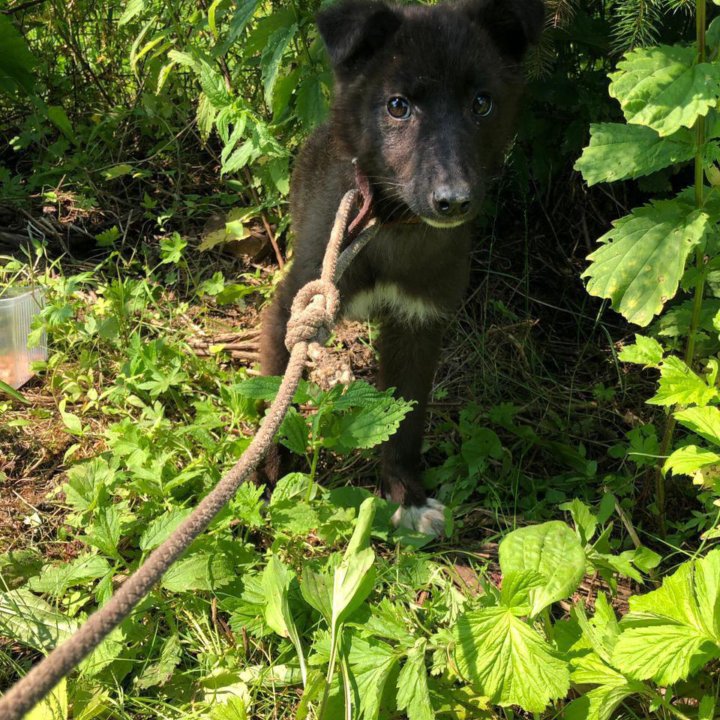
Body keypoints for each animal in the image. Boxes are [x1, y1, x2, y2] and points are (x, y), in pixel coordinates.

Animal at [262, 0, 544, 536]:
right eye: (398, 106)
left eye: (482, 104)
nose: (453, 201)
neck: (388, 223)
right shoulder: (293, 304)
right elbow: (273, 400)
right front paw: (265, 482)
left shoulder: (419, 323)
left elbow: (406, 418)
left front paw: (405, 495)